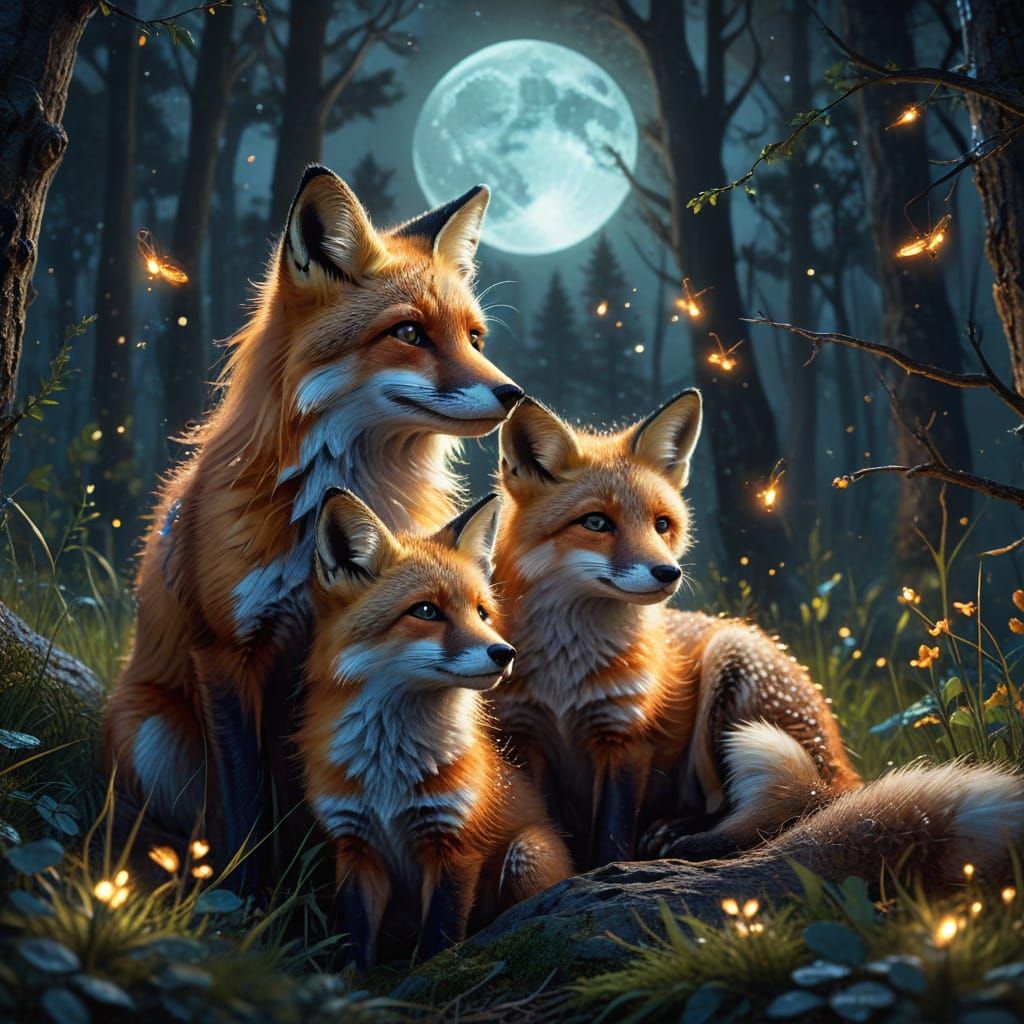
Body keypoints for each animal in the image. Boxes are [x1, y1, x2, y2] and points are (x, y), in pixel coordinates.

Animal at [103, 166, 524, 878]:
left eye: (475, 338)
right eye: (409, 334)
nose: (514, 393)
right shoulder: (226, 651)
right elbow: (245, 807)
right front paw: (245, 897)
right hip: (154, 732)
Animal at [298, 488, 572, 967]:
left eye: (482, 613)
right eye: (426, 610)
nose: (505, 652)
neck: (388, 771)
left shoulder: (455, 844)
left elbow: (440, 938)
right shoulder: (354, 846)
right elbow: (354, 939)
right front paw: (351, 979)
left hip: (527, 852)